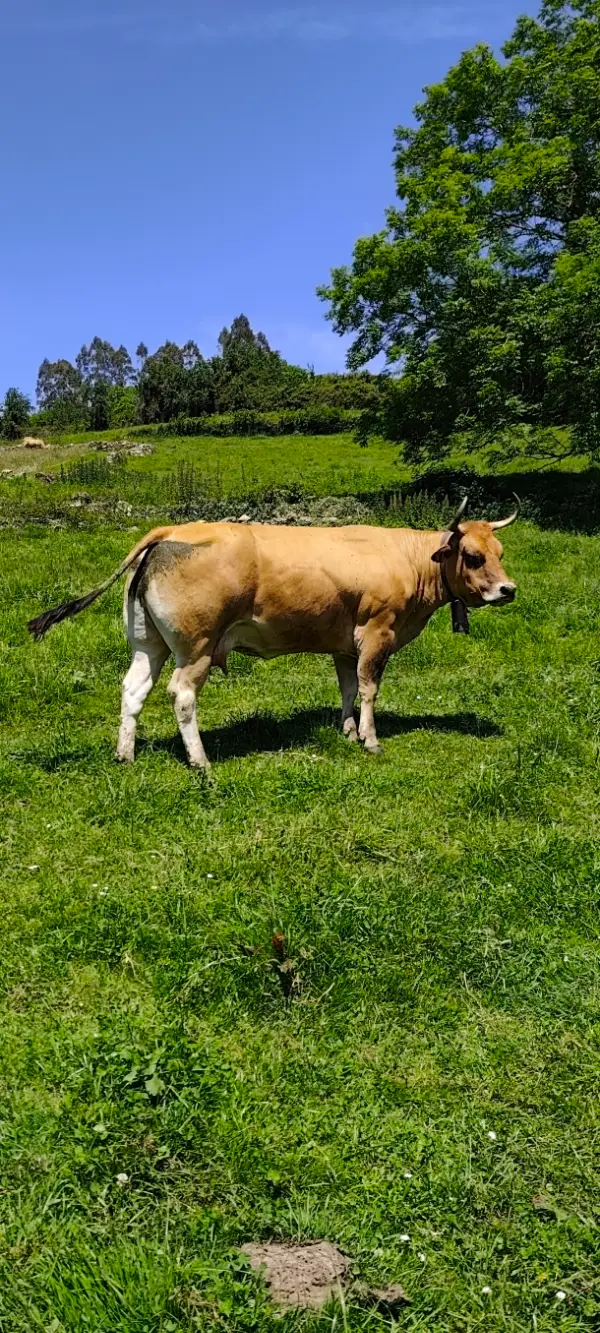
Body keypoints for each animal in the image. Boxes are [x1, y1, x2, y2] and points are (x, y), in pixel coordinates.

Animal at [27, 497, 519, 770]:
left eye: (500, 551)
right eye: (473, 556)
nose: (508, 589)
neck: (409, 558)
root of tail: (171, 531)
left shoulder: (344, 643)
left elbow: (345, 688)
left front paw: (347, 731)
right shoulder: (378, 633)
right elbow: (368, 689)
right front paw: (371, 740)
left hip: (149, 644)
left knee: (133, 689)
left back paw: (125, 755)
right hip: (197, 648)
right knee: (181, 696)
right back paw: (200, 762)